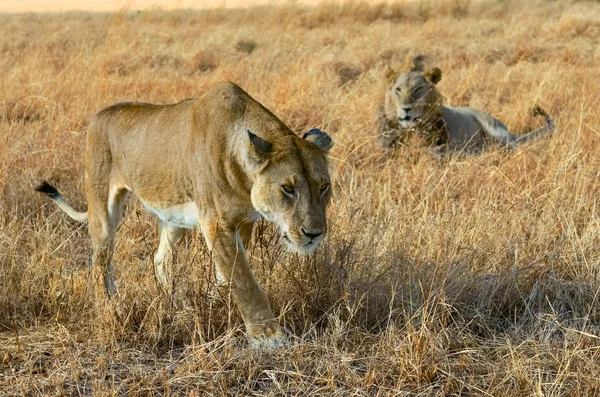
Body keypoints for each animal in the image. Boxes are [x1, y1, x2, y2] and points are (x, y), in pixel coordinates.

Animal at [37, 82, 332, 348]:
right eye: (288, 188)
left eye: (324, 187)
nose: (314, 234)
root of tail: (100, 114)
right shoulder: (216, 223)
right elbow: (244, 281)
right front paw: (270, 337)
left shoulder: (244, 221)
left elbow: (226, 275)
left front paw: (212, 302)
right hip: (102, 206)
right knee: (101, 261)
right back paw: (110, 305)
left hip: (173, 217)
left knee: (159, 258)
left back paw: (172, 300)